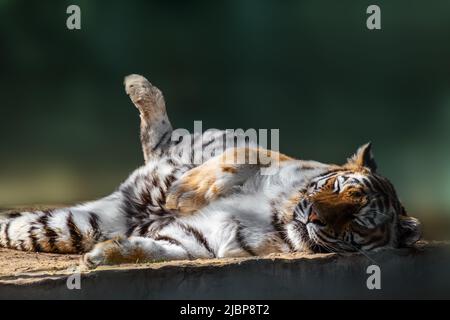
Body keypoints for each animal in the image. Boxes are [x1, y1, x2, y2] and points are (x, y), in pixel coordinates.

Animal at [0, 74, 422, 268]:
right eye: (334, 188)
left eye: (355, 222)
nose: (314, 216)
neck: (280, 217)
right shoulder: (272, 156)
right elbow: (248, 155)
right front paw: (184, 194)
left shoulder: (201, 240)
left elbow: (159, 249)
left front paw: (107, 255)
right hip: (189, 148)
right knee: (161, 139)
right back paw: (139, 87)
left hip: (71, 226)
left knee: (18, 225)